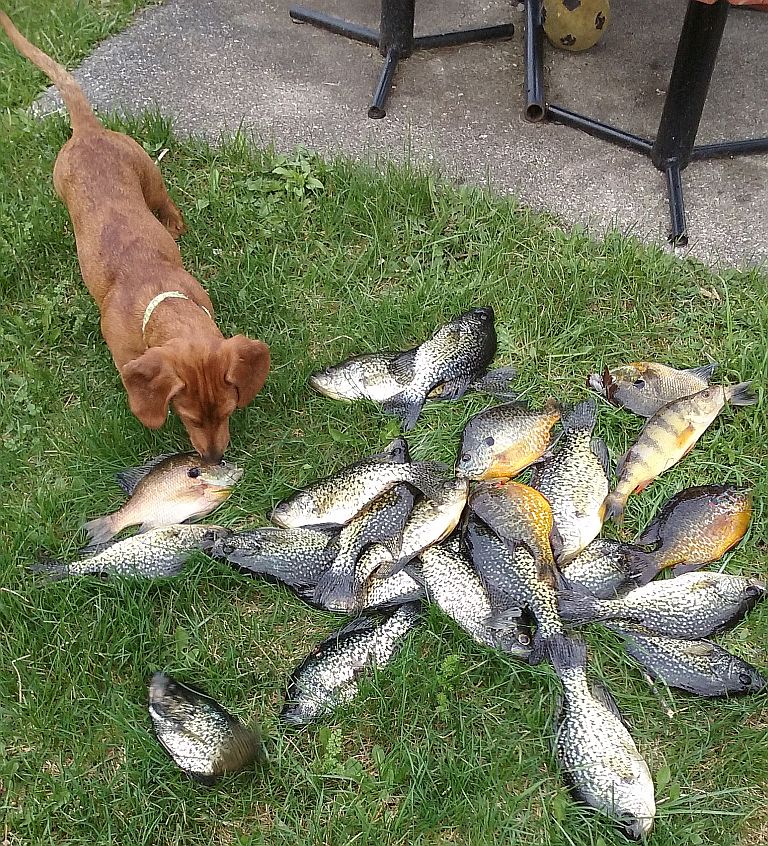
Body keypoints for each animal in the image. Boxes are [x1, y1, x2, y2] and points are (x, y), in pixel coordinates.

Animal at [0, 11, 270, 464]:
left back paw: (176, 225)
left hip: (150, 175)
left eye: (228, 410)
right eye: (188, 416)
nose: (213, 461)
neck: (157, 298)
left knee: (166, 203)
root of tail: (88, 131)